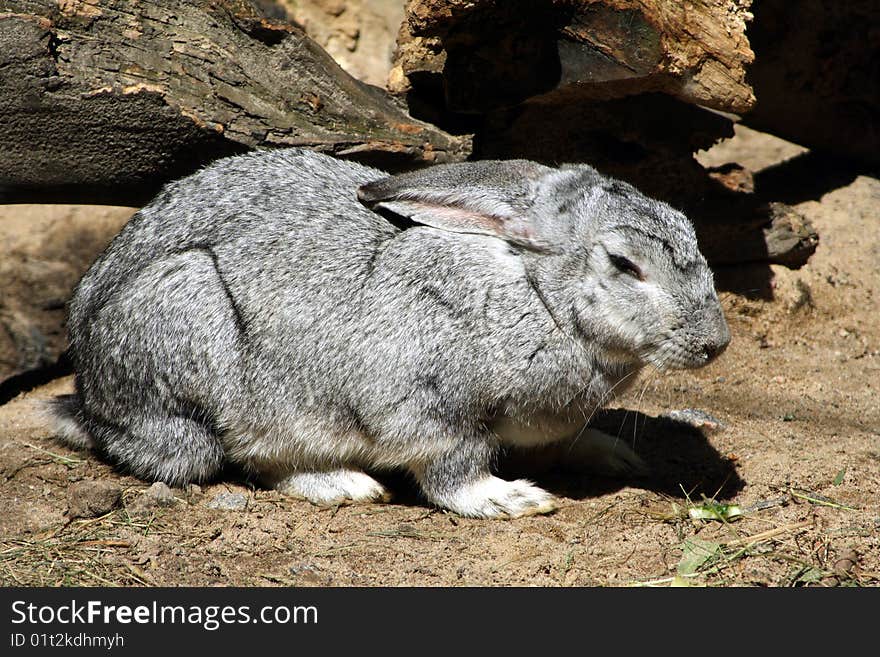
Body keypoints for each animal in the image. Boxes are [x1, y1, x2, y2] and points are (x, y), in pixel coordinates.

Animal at [51, 150, 732, 516]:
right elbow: (452, 468)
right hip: (201, 342)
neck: (540, 295)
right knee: (246, 456)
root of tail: (90, 397)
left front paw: (614, 453)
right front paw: (510, 500)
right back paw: (347, 485)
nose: (714, 344)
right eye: (623, 264)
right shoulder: (430, 408)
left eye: (689, 228)